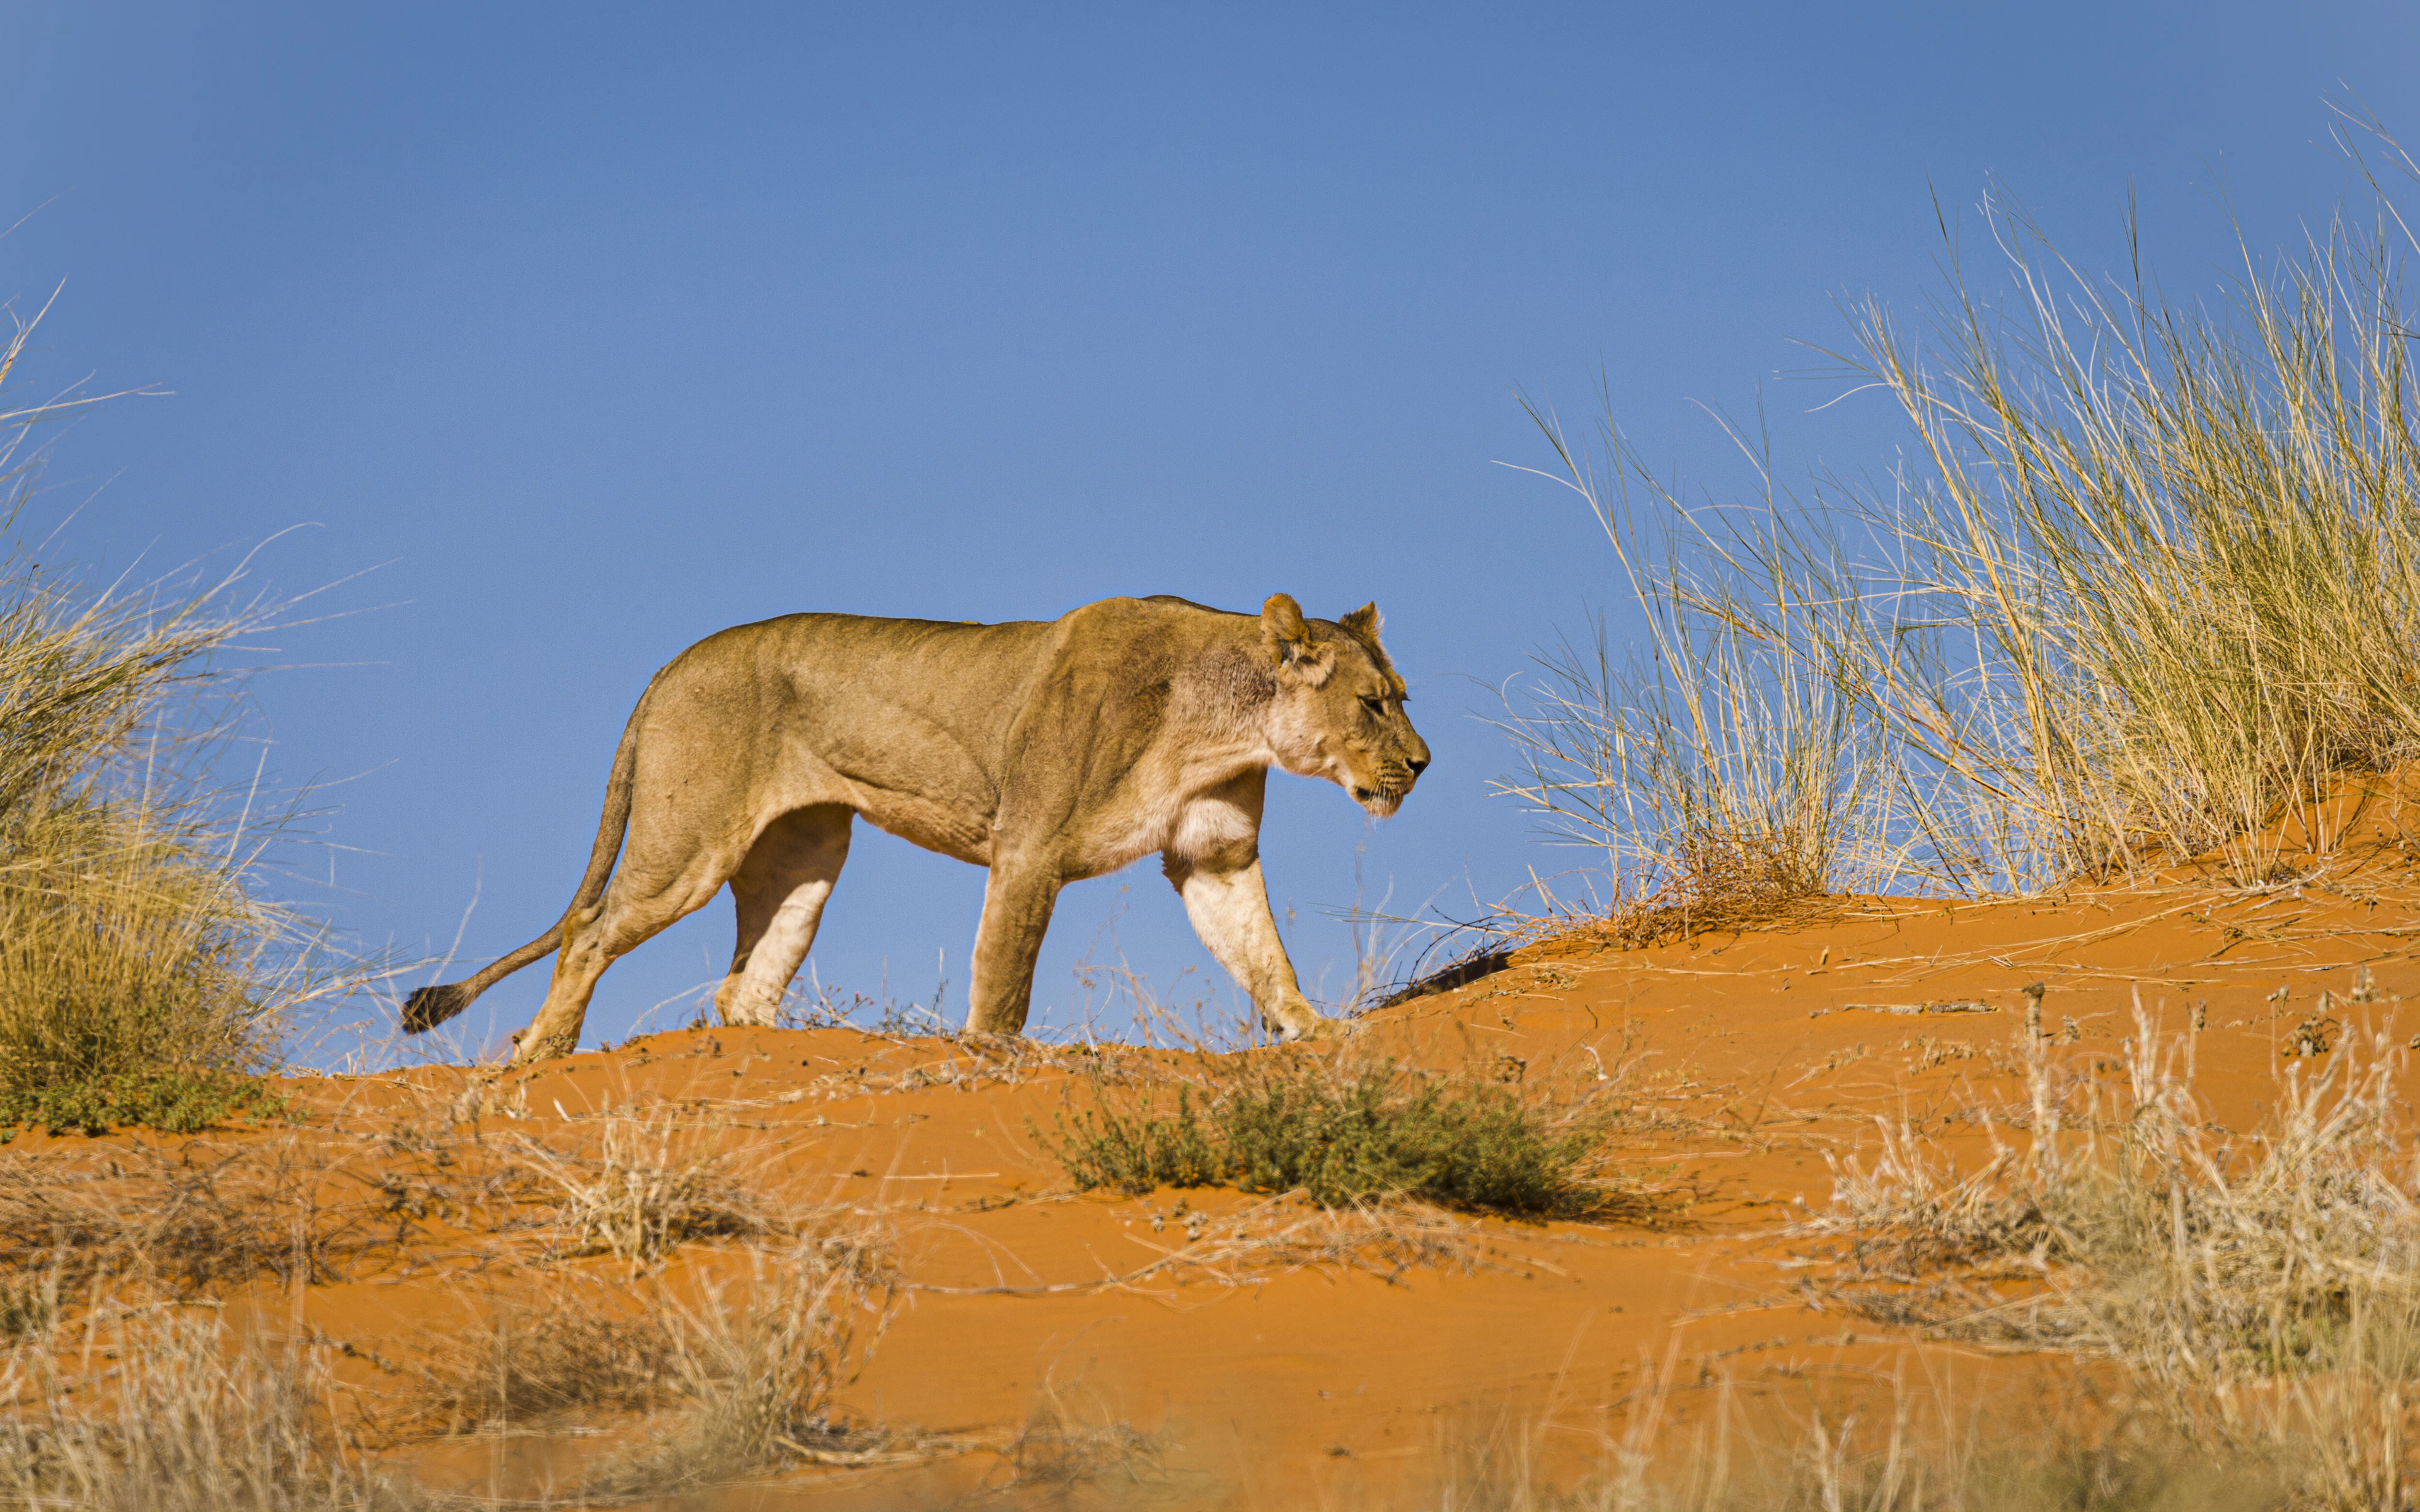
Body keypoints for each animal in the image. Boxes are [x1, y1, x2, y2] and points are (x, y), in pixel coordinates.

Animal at [401, 593, 1428, 1064]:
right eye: (1374, 705)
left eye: (1402, 699)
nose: (1422, 764)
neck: (1221, 725)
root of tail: (672, 663)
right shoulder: (1028, 851)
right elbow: (1003, 983)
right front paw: (992, 1062)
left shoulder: (1213, 857)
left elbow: (1264, 955)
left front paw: (1318, 1034)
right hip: (687, 846)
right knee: (589, 931)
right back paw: (540, 1053)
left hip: (809, 854)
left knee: (742, 987)